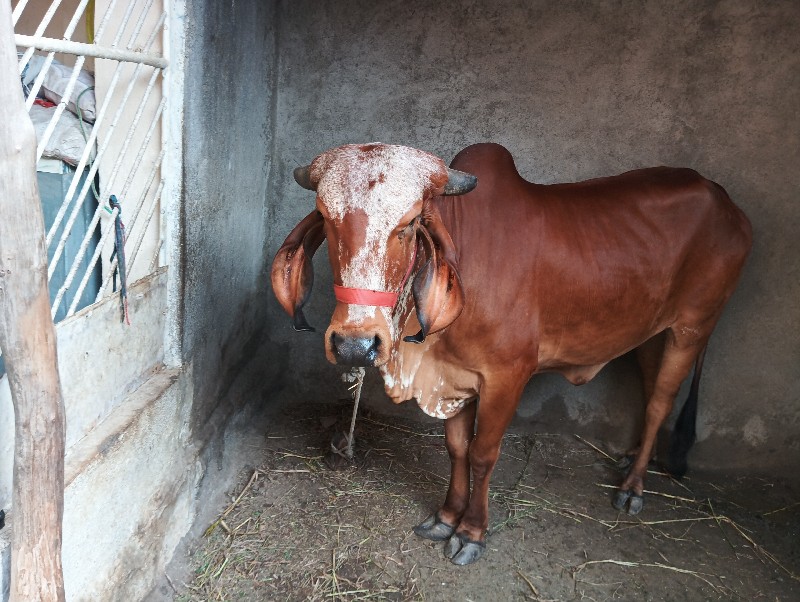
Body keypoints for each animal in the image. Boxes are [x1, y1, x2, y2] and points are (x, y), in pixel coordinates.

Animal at [272, 141, 752, 564]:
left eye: (409, 224)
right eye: (325, 218)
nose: (354, 344)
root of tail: (724, 198)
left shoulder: (507, 377)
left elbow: (483, 454)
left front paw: (471, 532)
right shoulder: (455, 377)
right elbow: (457, 448)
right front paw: (446, 516)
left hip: (692, 328)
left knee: (659, 404)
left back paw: (632, 487)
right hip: (653, 333)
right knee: (652, 388)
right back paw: (635, 458)